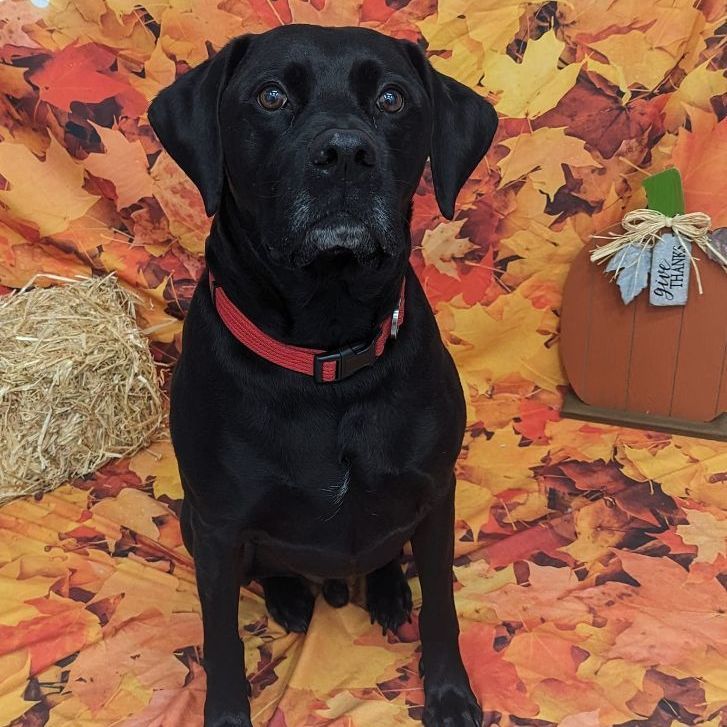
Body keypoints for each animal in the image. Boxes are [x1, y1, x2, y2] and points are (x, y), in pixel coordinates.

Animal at [151, 22, 498, 727]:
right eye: (271, 95)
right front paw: (226, 712)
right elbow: (221, 637)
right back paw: (290, 597)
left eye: (392, 98)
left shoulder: (435, 493)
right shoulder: (217, 525)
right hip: (192, 520)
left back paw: (388, 593)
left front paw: (449, 694)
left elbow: (443, 605)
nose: (343, 154)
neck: (327, 360)